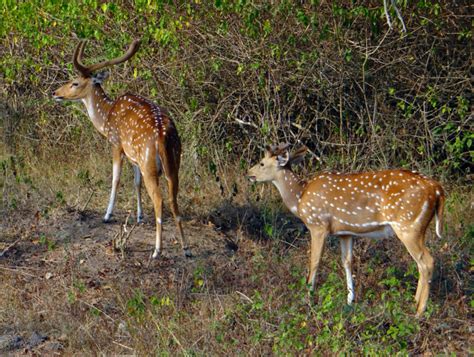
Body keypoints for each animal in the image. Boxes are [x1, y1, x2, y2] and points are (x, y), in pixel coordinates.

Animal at [53, 39, 191, 258]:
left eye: (75, 82)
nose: (55, 93)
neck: (105, 119)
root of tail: (163, 137)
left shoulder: (116, 143)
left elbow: (116, 179)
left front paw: (107, 215)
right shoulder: (133, 155)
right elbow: (136, 182)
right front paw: (140, 216)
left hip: (150, 165)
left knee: (159, 199)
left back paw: (157, 250)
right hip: (173, 163)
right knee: (173, 198)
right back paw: (186, 249)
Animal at [248, 143, 444, 316]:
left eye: (262, 163)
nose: (249, 173)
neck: (299, 198)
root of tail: (437, 189)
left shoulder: (318, 225)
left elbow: (314, 261)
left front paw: (308, 297)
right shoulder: (345, 232)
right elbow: (347, 261)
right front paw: (350, 300)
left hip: (408, 225)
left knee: (427, 261)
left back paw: (419, 311)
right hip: (416, 228)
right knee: (420, 263)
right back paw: (414, 303)